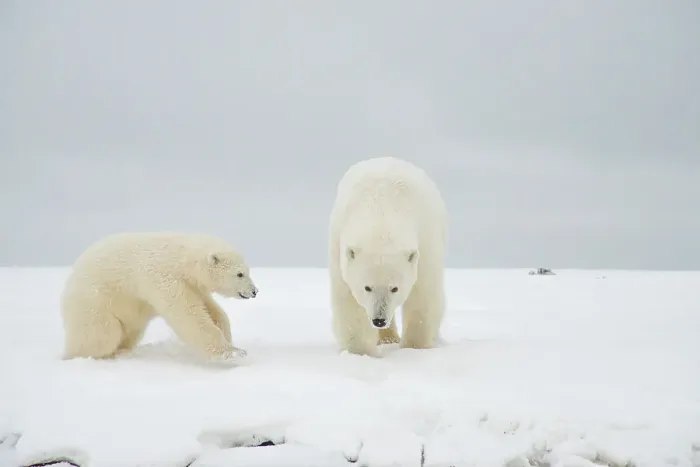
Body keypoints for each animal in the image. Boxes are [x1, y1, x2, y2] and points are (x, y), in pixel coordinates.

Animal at [60, 232, 259, 363]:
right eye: (240, 274)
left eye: (247, 271)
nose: (255, 291)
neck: (180, 259)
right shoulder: (163, 277)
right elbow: (188, 315)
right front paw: (232, 352)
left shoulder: (192, 285)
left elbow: (212, 310)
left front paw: (229, 339)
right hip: (95, 303)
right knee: (101, 336)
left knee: (130, 332)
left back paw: (123, 351)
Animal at [327, 156, 448, 357]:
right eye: (367, 287)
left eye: (395, 288)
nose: (379, 320)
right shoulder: (340, 250)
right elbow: (349, 301)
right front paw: (361, 353)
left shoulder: (425, 241)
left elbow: (423, 294)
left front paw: (415, 348)